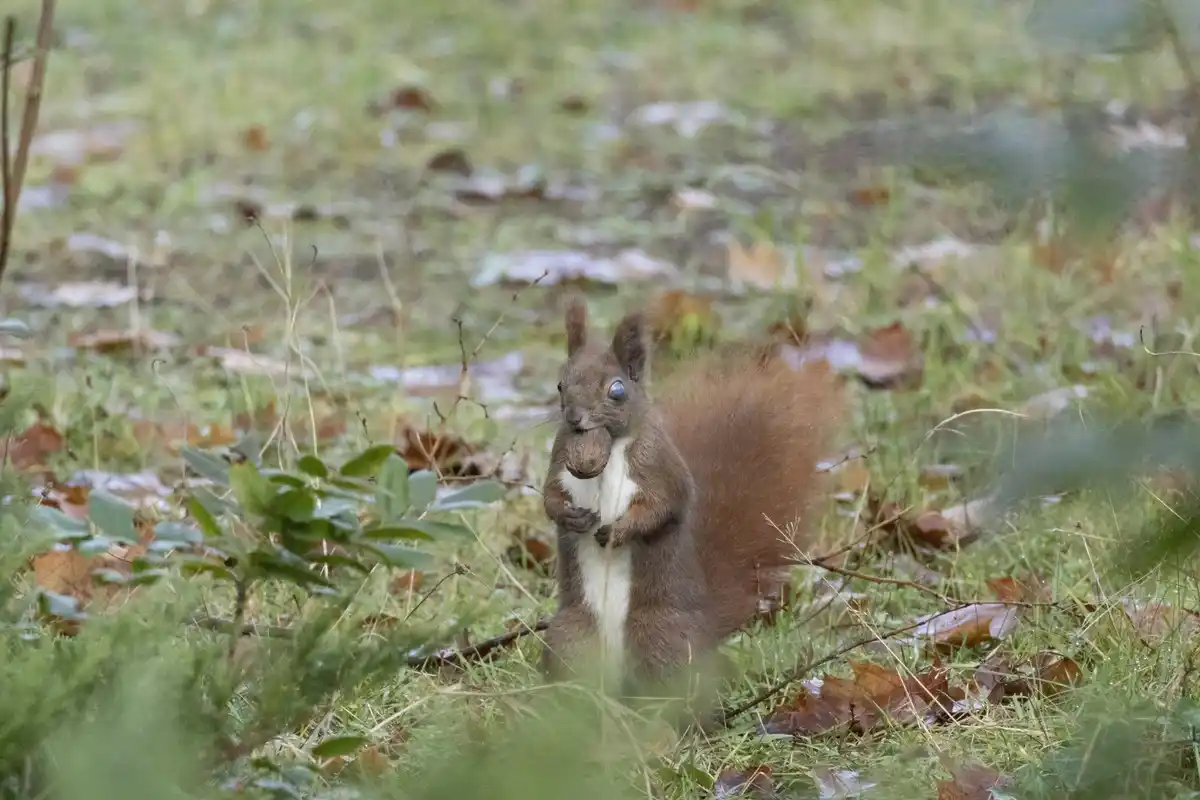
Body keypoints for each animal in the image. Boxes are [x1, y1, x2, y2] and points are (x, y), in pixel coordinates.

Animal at [539, 295, 841, 697]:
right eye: (560, 385)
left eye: (616, 390)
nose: (575, 418)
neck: (610, 447)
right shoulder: (560, 459)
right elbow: (550, 496)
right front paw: (570, 517)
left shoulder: (659, 465)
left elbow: (664, 505)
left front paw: (619, 530)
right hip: (571, 637)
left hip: (661, 636)